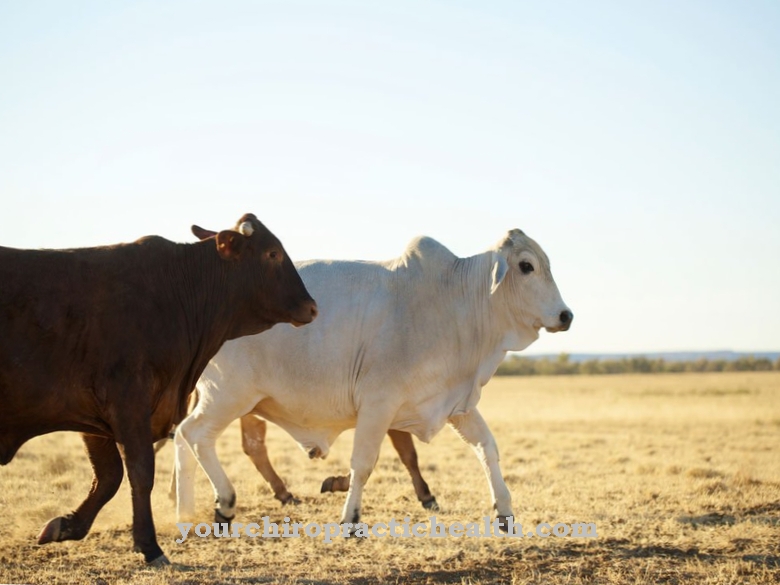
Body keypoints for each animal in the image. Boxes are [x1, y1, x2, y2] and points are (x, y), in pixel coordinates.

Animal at [0, 212, 316, 564]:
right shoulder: (128, 404)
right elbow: (139, 473)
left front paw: (67, 526)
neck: (176, 292)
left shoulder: (93, 415)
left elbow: (108, 477)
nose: (312, 307)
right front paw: (149, 545)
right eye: (272, 253)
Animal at [174, 229, 568, 528]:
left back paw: (185, 511)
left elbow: (487, 448)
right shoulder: (379, 404)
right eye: (527, 266)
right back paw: (224, 502)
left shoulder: (455, 404)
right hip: (228, 395)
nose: (567, 315)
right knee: (195, 435)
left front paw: (504, 510)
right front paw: (350, 518)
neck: (454, 301)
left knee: (183, 438)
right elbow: (363, 464)